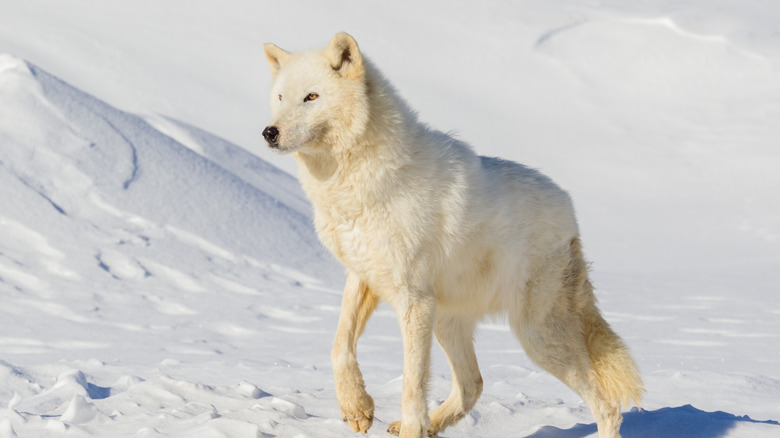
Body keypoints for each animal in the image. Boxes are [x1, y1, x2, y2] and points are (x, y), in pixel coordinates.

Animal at [262, 31, 640, 438]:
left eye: (311, 97)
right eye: (280, 98)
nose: (269, 132)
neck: (361, 185)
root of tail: (570, 210)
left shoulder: (413, 302)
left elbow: (412, 387)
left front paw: (407, 425)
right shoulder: (363, 276)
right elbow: (339, 347)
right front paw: (357, 407)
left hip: (535, 337)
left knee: (606, 405)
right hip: (449, 322)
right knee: (473, 384)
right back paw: (429, 424)